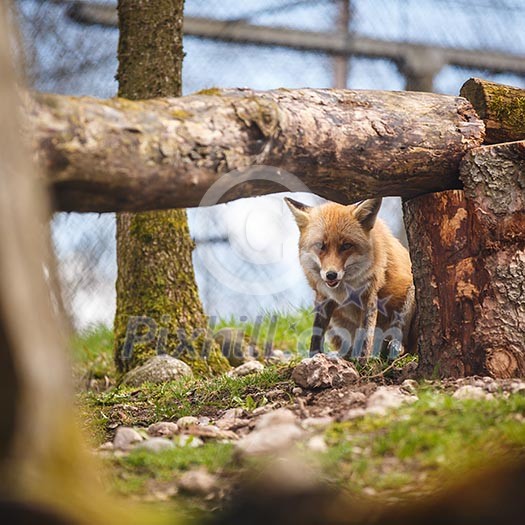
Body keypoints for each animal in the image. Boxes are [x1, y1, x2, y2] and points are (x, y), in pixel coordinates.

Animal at [284, 196, 416, 360]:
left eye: (346, 246)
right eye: (320, 246)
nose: (331, 274)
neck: (343, 289)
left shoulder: (369, 295)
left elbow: (365, 336)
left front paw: (361, 362)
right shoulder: (323, 297)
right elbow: (316, 333)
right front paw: (314, 356)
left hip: (411, 295)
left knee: (401, 341)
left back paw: (393, 348)